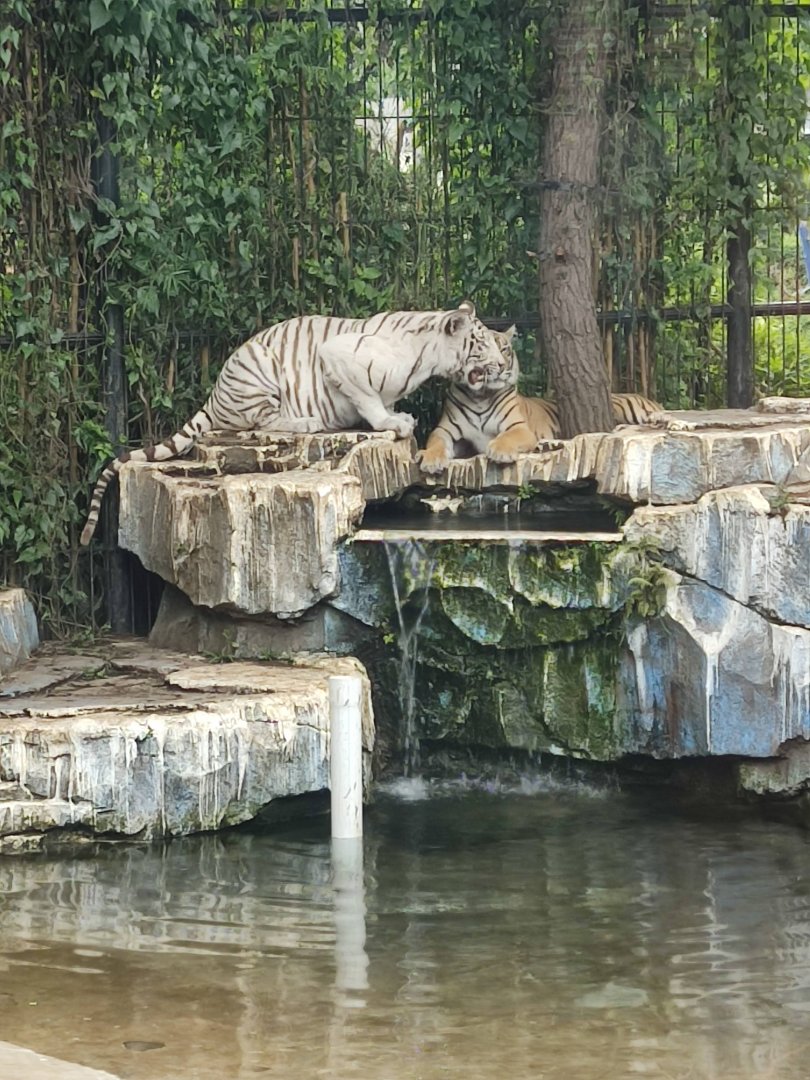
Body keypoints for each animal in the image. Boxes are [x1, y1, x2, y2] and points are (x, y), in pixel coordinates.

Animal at [80, 301, 504, 544]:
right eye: (481, 343)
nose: (502, 364)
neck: (427, 358)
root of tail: (215, 392)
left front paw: (397, 416)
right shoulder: (339, 357)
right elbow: (368, 398)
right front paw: (393, 423)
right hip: (262, 374)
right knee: (259, 421)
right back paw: (307, 422)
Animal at [418, 325, 663, 473]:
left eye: (505, 349)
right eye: (484, 349)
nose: (501, 366)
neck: (480, 395)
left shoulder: (519, 427)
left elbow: (506, 437)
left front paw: (499, 451)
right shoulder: (445, 430)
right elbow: (435, 442)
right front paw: (431, 459)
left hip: (627, 408)